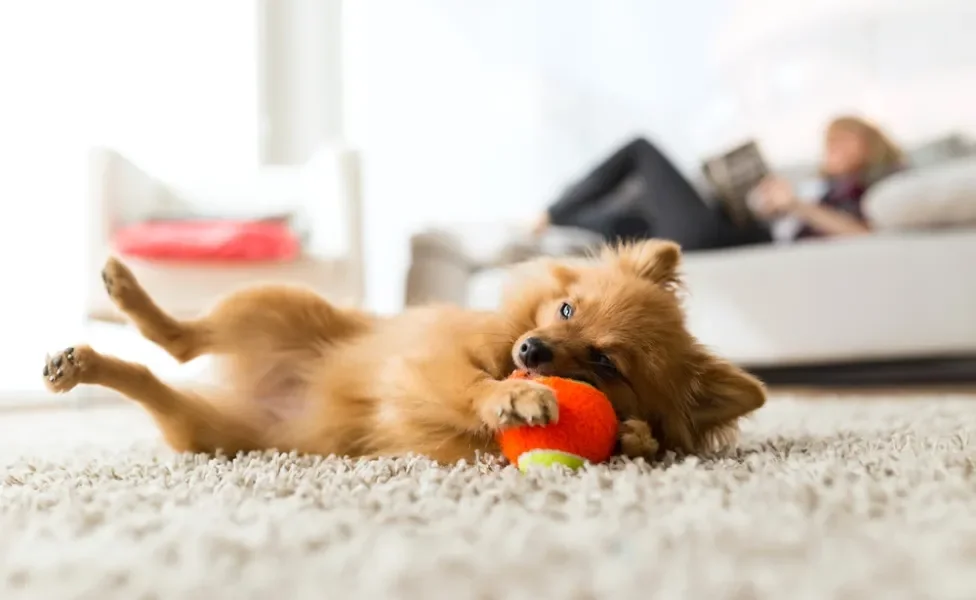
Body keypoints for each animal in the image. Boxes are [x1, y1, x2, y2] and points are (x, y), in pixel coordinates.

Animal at [43, 240, 764, 464]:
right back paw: (120, 295)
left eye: (604, 362)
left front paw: (635, 437)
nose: (532, 350)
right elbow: (475, 388)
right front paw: (513, 395)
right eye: (565, 311)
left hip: (209, 431)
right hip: (275, 302)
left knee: (156, 375)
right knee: (180, 337)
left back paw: (82, 364)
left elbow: (640, 438)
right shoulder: (429, 364)